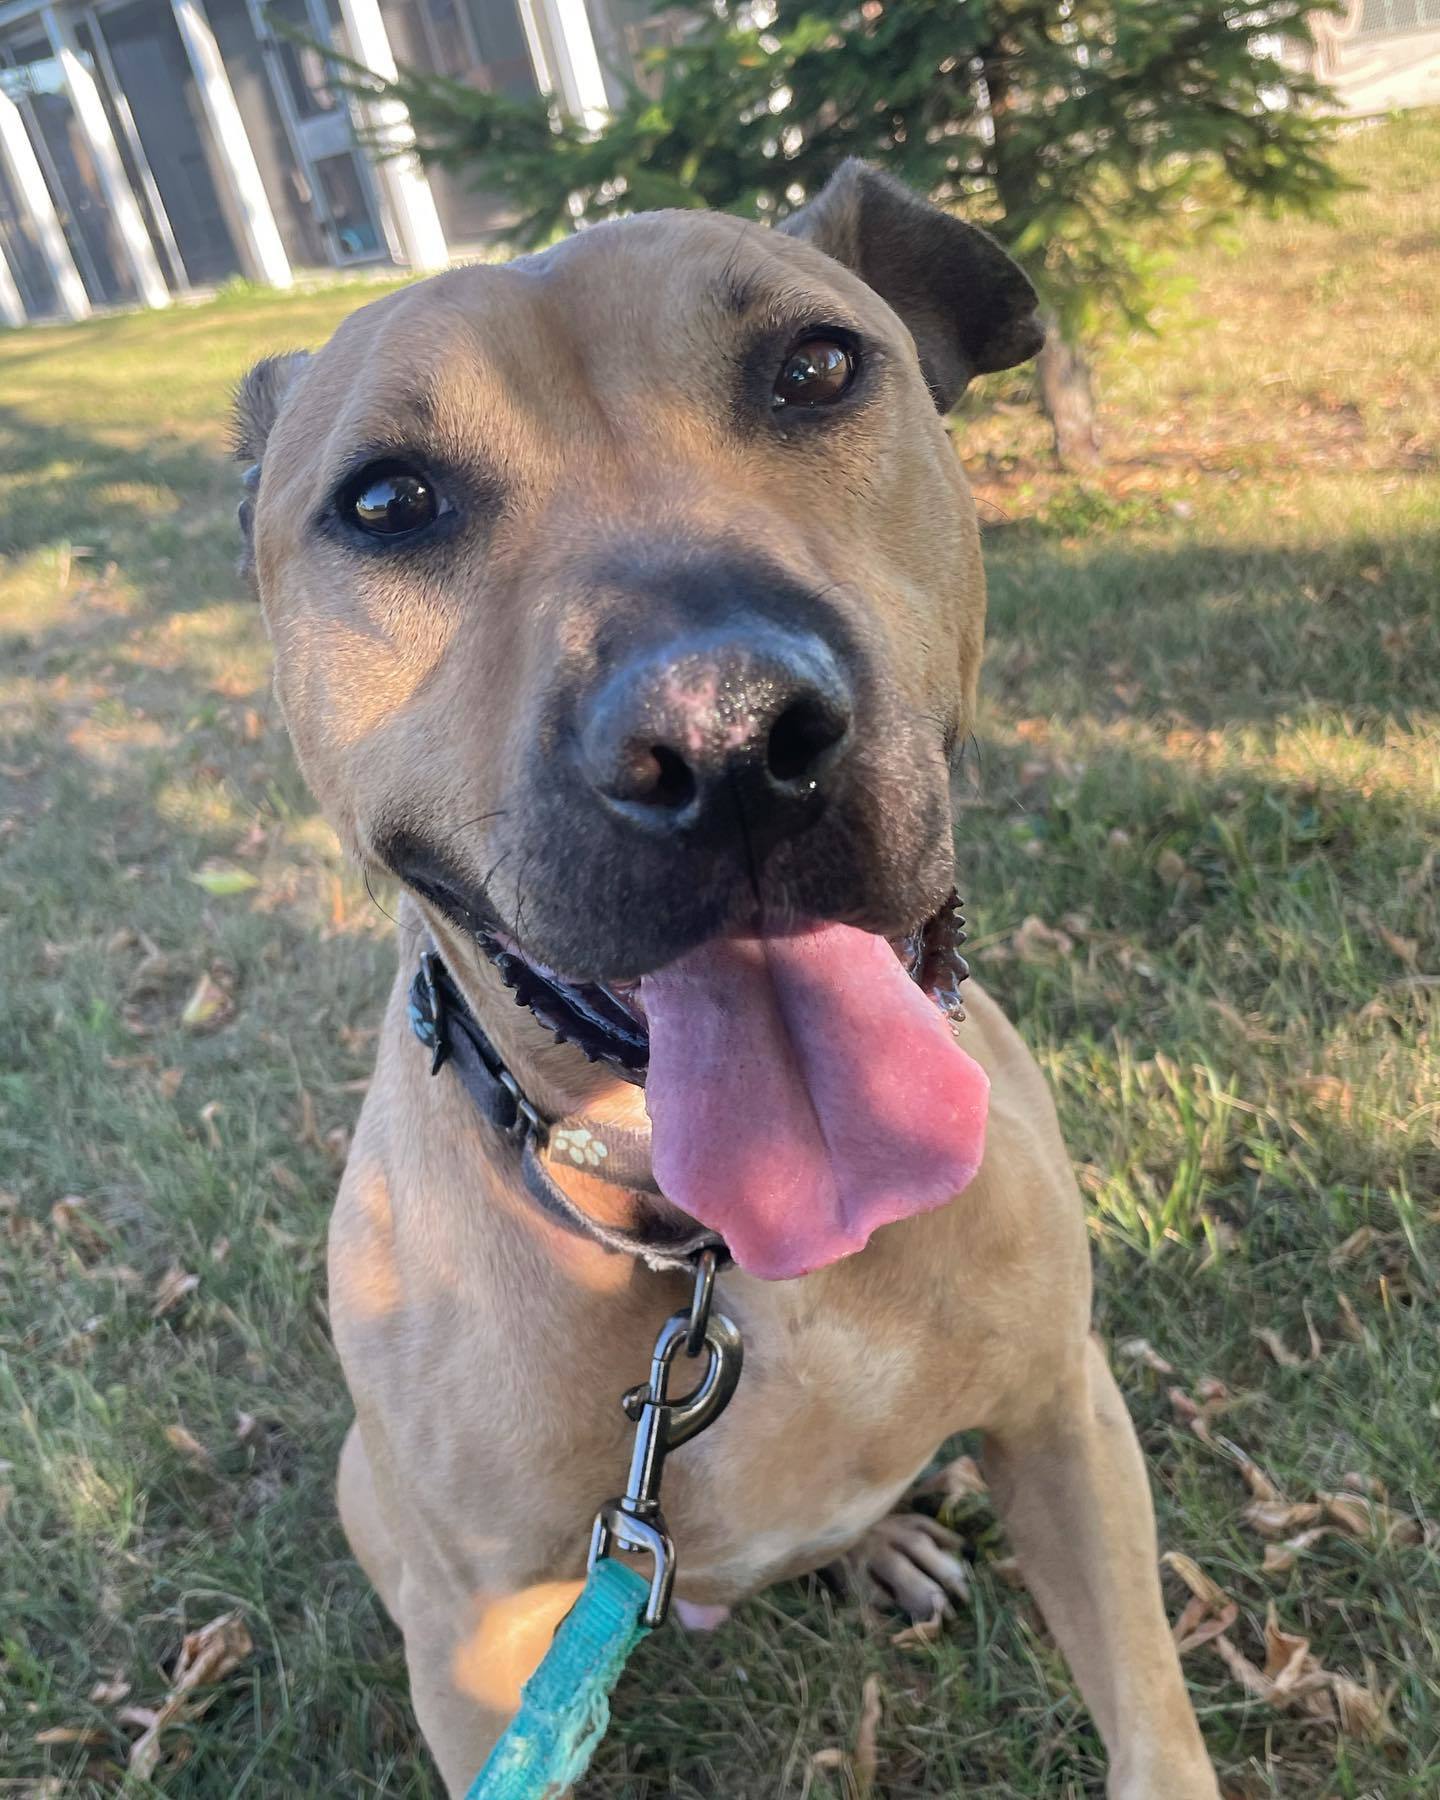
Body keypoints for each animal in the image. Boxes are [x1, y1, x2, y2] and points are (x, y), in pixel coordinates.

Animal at [235, 162, 1216, 1792]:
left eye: (815, 369)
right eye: (386, 501)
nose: (726, 737)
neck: (712, 1251)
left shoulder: (1070, 1420)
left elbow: (1151, 1724)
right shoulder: (479, 1652)